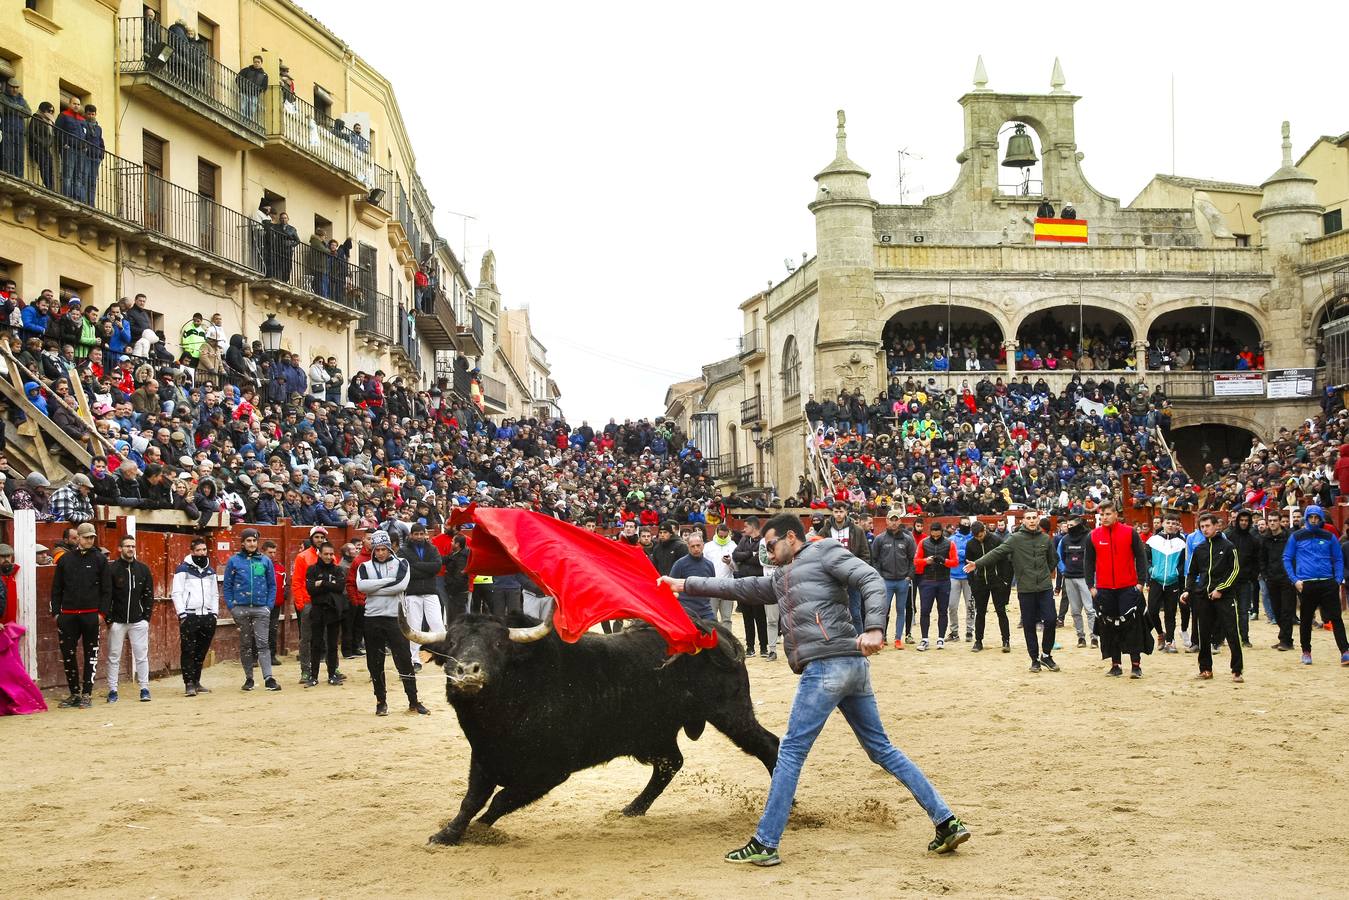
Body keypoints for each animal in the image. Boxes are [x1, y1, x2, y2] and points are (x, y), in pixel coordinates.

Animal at [399, 609, 782, 847]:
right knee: (671, 764)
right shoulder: (484, 757)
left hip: (731, 713)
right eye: (451, 645)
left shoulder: (549, 771)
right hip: (655, 733)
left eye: (498, 644)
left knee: (769, 745)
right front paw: (447, 835)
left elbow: (501, 799)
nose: (466, 671)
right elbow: (471, 799)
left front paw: (480, 832)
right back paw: (632, 809)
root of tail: (714, 633)